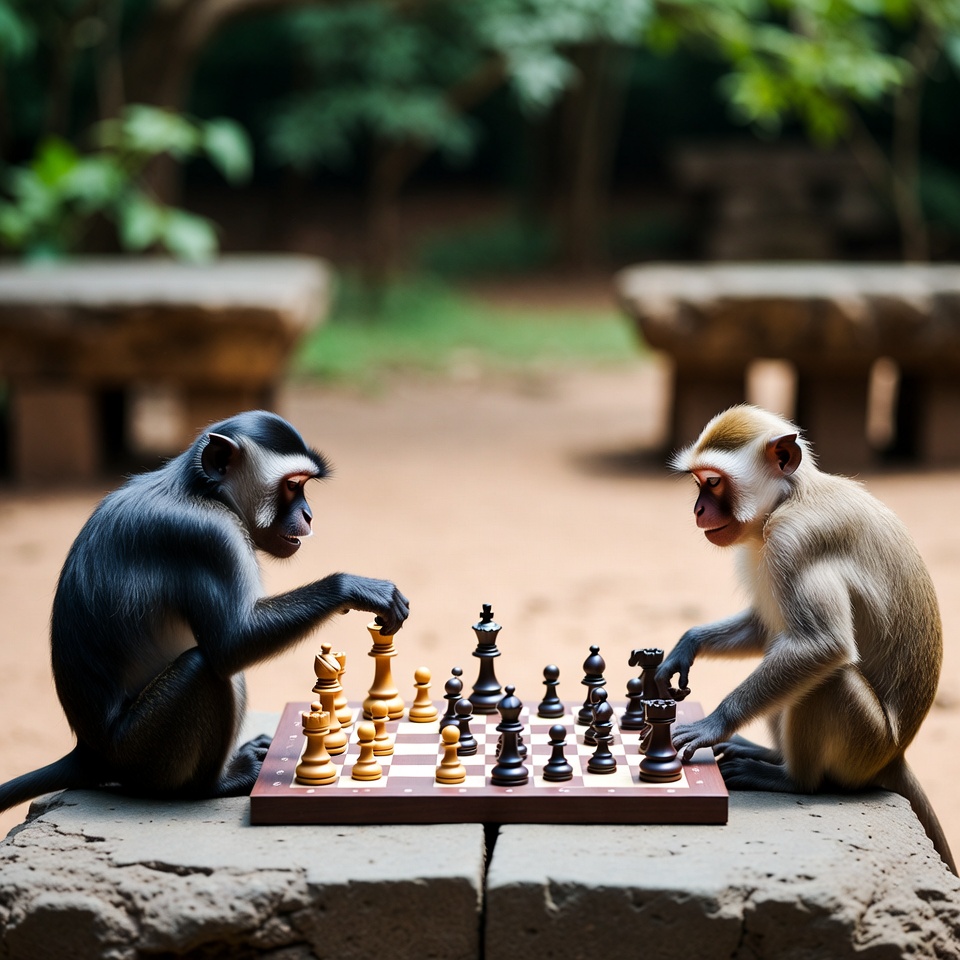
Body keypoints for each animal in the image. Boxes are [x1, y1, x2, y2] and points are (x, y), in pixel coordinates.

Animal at [0, 410, 409, 813]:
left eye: (304, 486)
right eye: (293, 486)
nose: (309, 515)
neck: (198, 490)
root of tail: (90, 751)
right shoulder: (209, 537)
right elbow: (232, 643)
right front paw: (353, 587)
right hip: (139, 753)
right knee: (203, 668)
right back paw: (214, 784)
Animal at [657, 404, 956, 874]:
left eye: (714, 482)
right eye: (698, 482)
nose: (698, 510)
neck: (789, 498)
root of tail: (895, 756)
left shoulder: (795, 541)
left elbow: (823, 645)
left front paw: (711, 724)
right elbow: (767, 630)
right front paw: (686, 646)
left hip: (863, 745)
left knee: (828, 677)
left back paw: (789, 778)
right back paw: (768, 756)